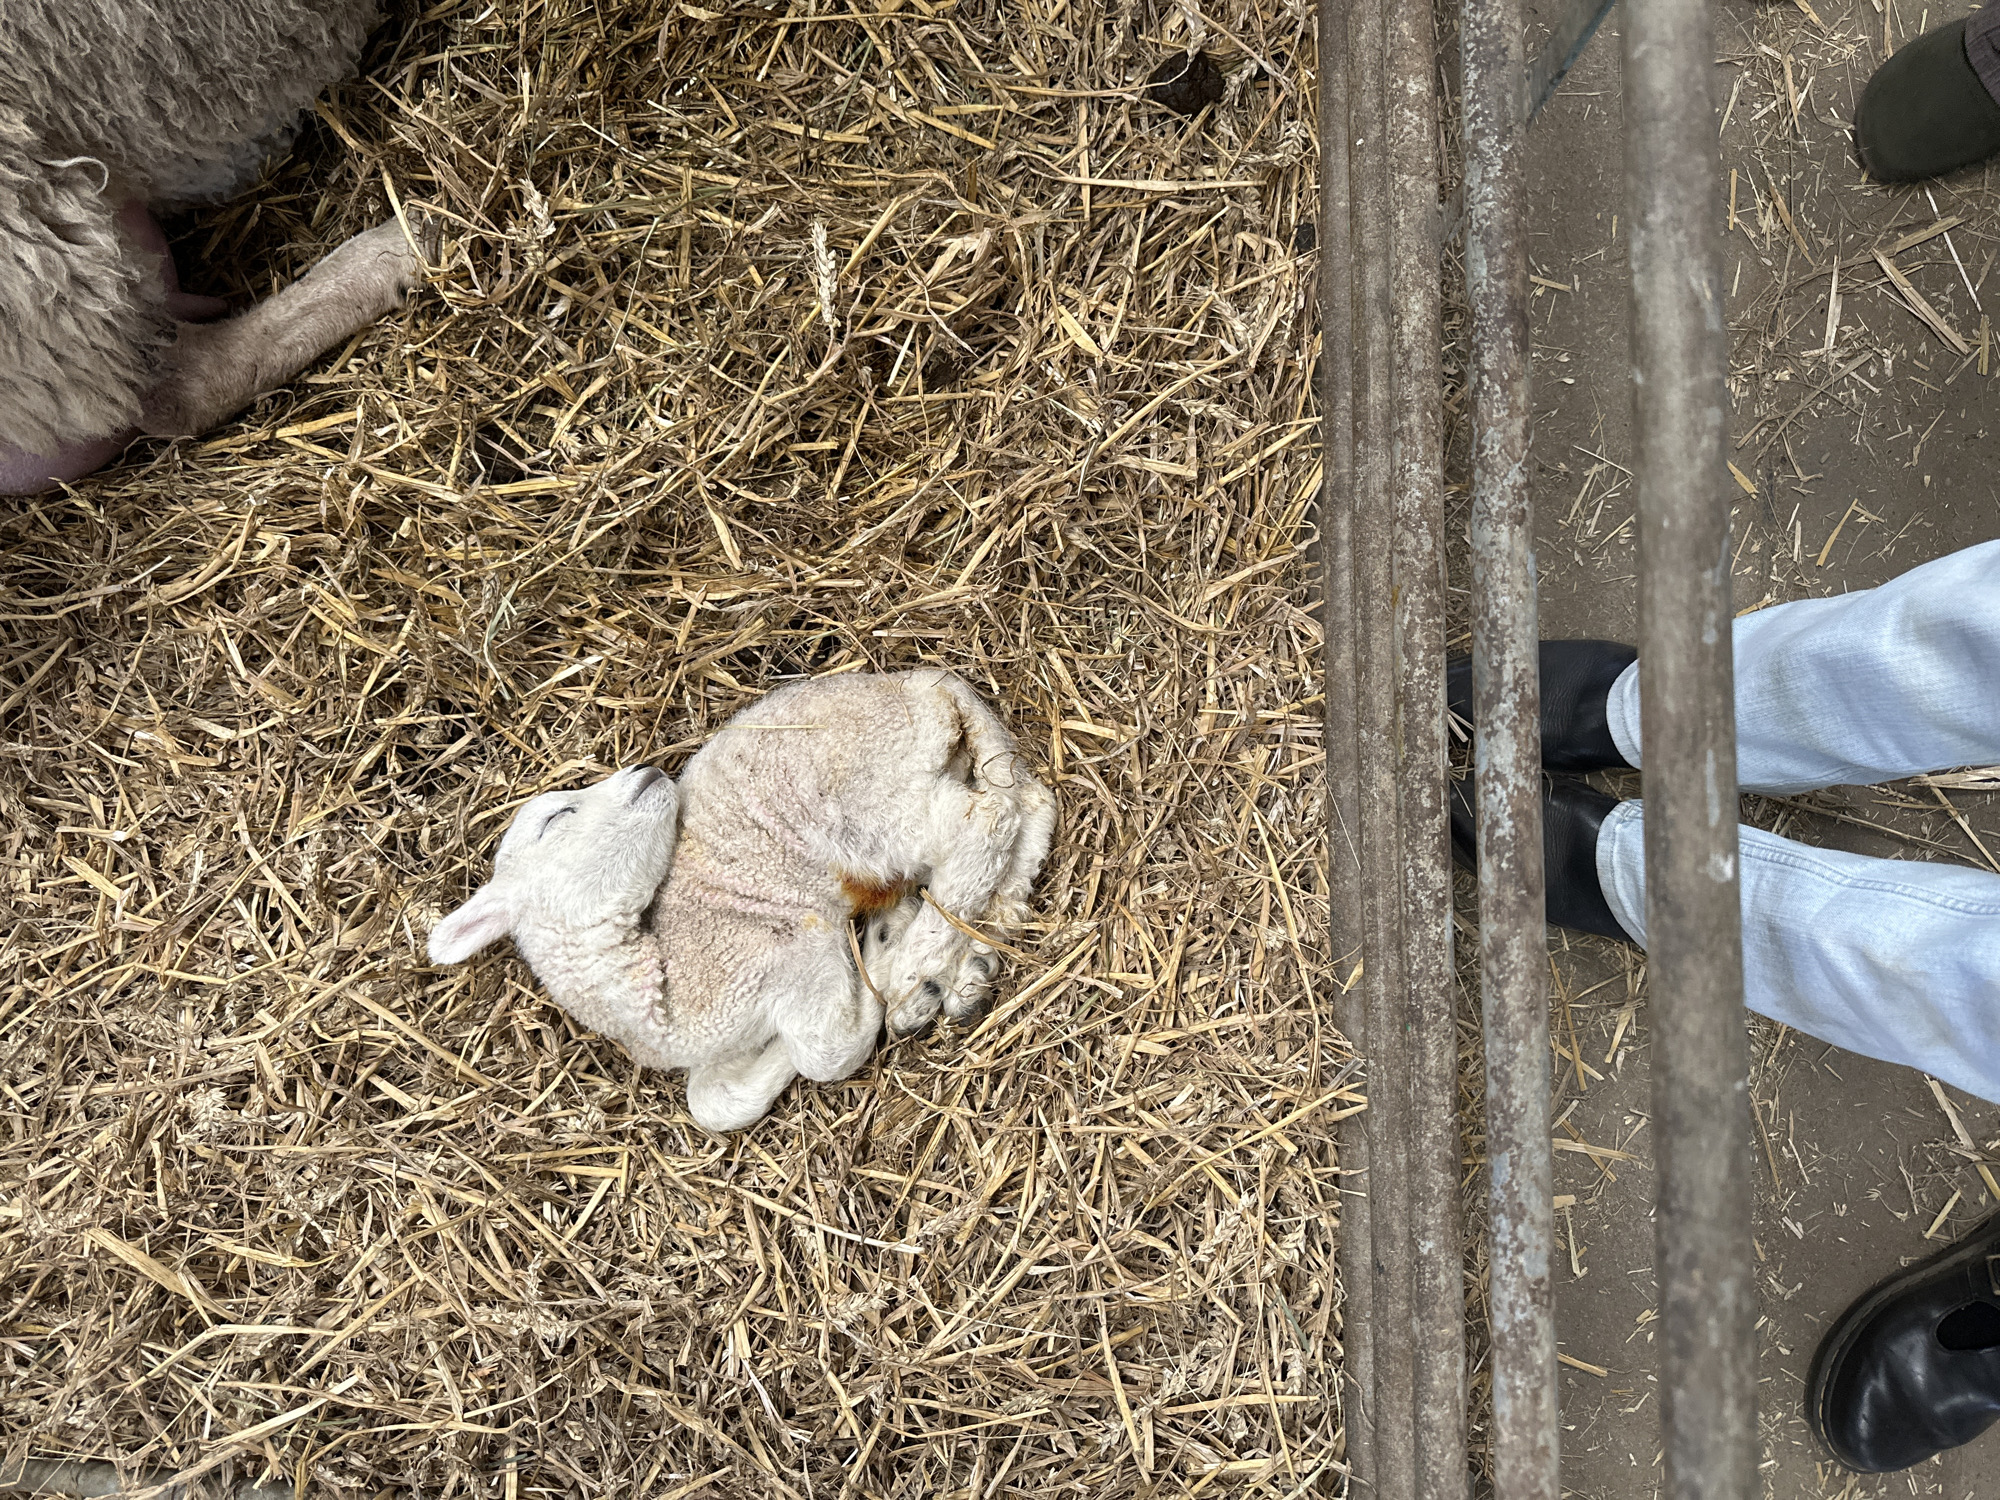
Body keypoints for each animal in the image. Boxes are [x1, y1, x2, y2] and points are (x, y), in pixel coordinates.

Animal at [428, 670, 1058, 1132]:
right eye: (558, 816)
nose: (646, 770)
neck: (668, 987)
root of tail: (927, 685)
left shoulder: (798, 957)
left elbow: (825, 1052)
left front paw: (884, 961)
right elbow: (713, 1104)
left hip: (873, 805)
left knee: (986, 821)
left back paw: (918, 971)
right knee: (1027, 807)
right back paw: (980, 952)